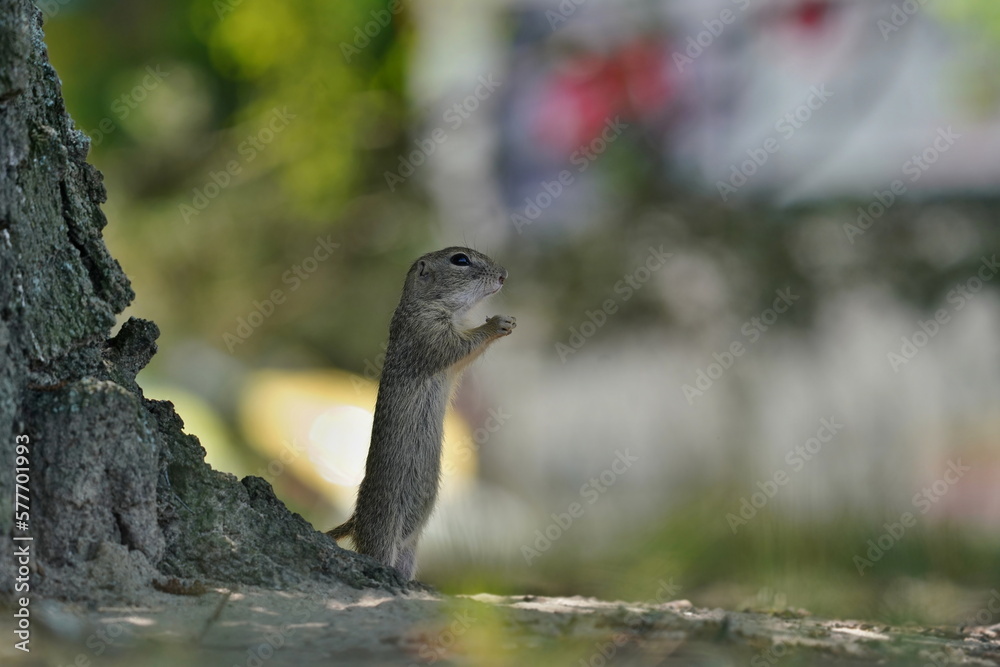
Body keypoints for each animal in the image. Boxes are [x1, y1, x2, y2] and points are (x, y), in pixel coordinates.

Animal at [328, 245, 516, 580]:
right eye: (460, 260)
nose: (504, 275)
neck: (426, 304)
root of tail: (357, 520)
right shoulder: (429, 334)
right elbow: (460, 345)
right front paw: (495, 324)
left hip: (408, 550)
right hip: (383, 529)